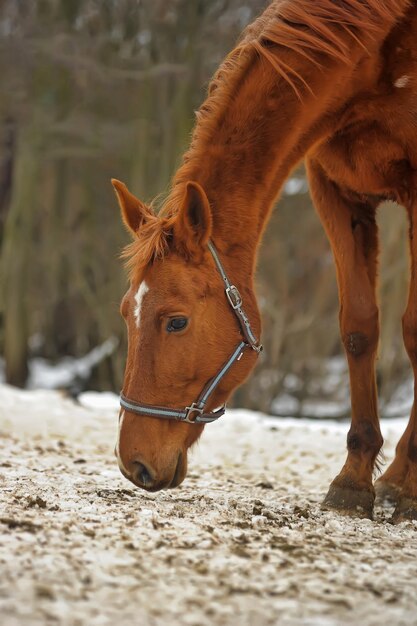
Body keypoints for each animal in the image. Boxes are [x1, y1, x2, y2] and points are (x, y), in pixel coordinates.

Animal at [111, 1, 416, 520]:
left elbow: (413, 330)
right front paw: (354, 480)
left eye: (176, 322)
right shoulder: (334, 190)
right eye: (125, 314)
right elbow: (358, 328)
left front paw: (408, 488)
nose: (134, 464)